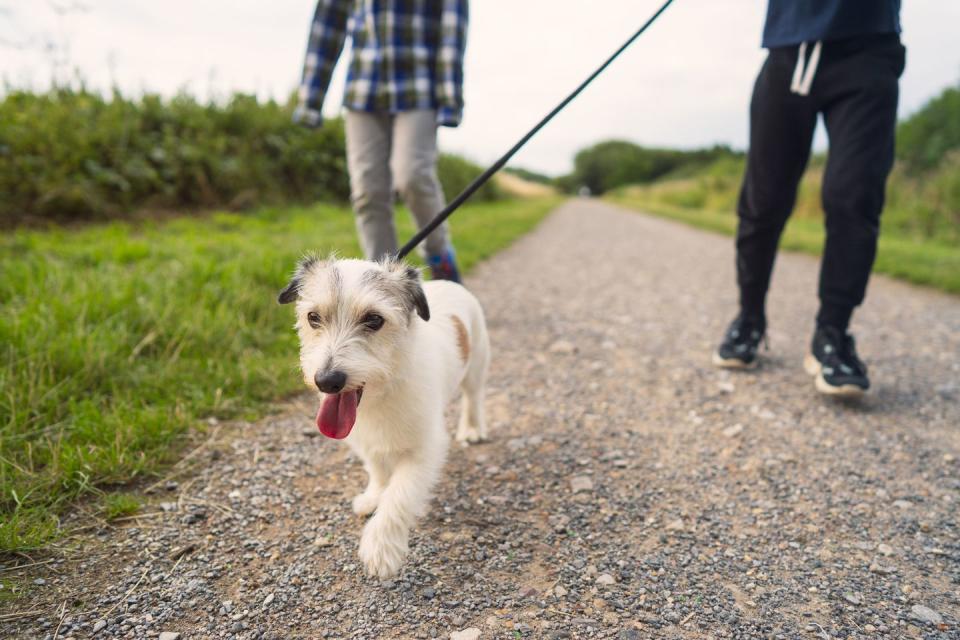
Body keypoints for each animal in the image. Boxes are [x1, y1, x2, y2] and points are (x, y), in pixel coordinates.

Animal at [276, 256, 488, 580]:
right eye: (313, 317)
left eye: (374, 320)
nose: (327, 381)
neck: (384, 391)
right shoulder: (364, 440)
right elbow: (376, 469)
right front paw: (373, 496)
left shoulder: (424, 450)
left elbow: (399, 495)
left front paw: (380, 547)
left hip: (475, 368)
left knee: (472, 398)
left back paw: (472, 428)